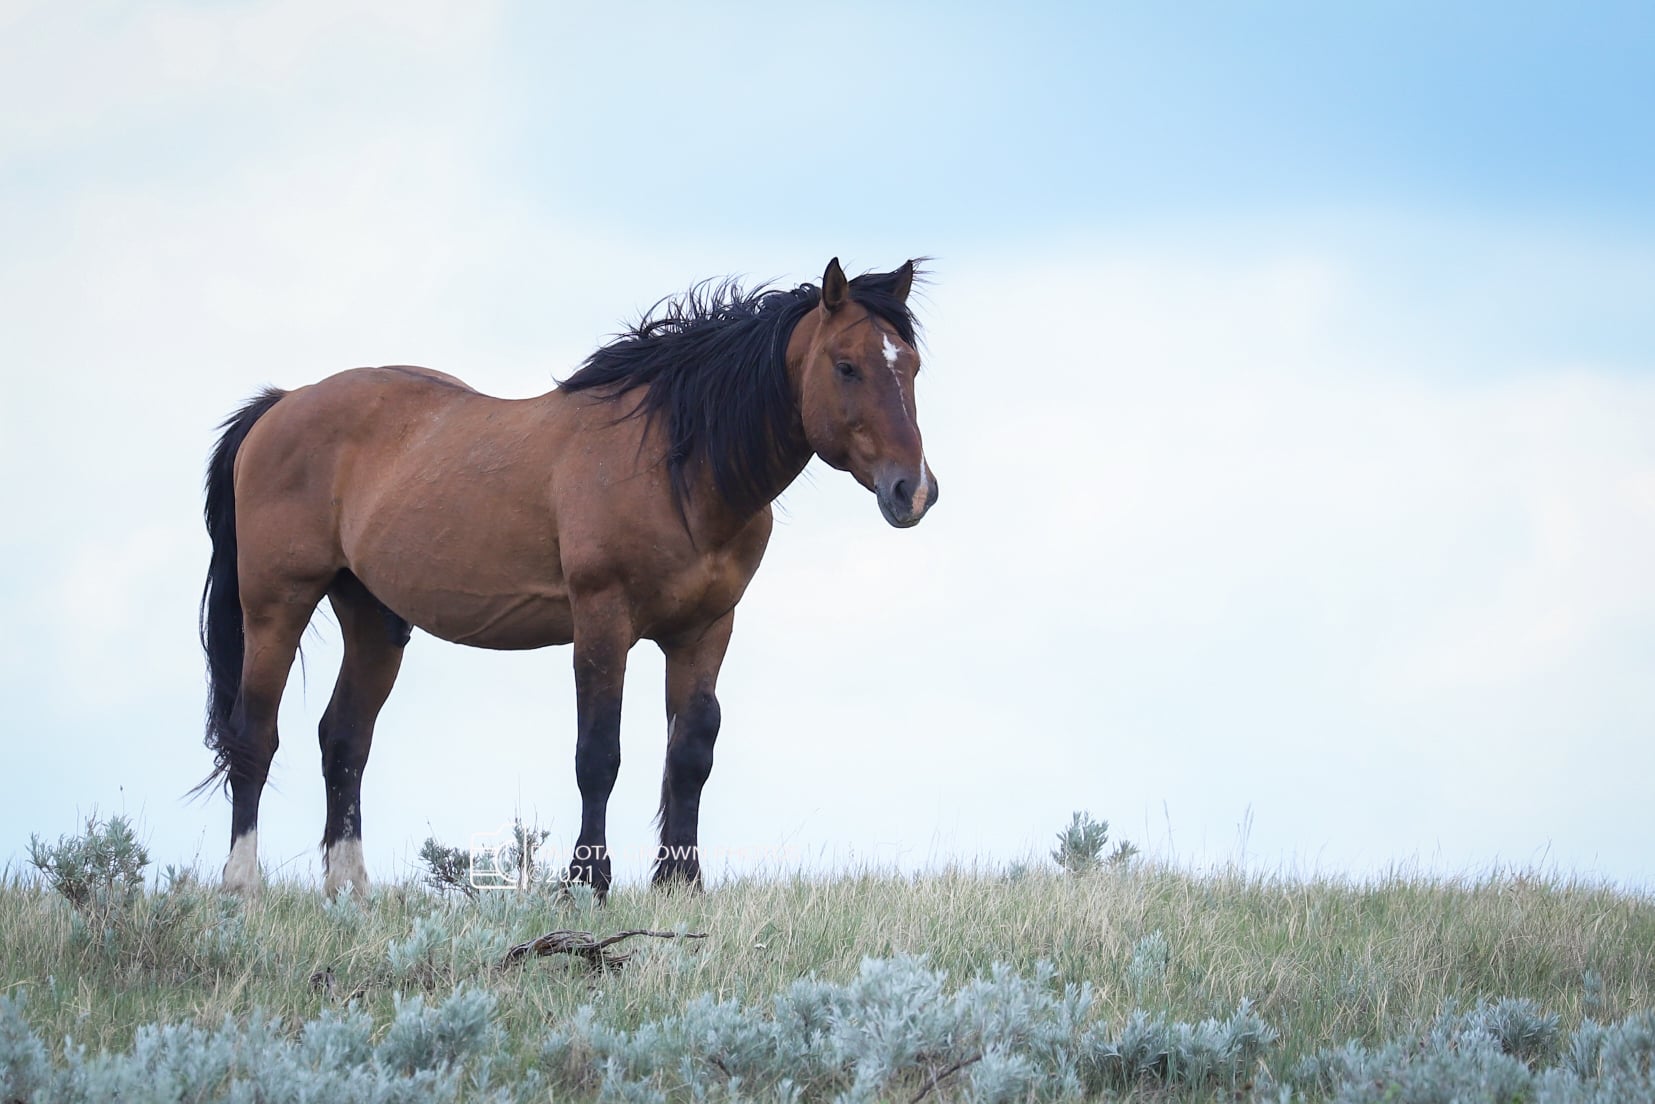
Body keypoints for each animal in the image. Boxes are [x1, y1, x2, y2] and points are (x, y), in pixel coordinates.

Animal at [200, 259, 940, 900]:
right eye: (845, 366)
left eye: (911, 366)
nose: (913, 492)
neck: (675, 466)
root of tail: (282, 404)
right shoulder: (601, 619)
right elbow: (598, 753)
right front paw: (588, 882)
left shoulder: (706, 628)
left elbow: (691, 752)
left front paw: (680, 883)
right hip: (277, 605)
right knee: (255, 734)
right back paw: (241, 887)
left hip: (373, 619)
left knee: (345, 740)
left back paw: (348, 891)